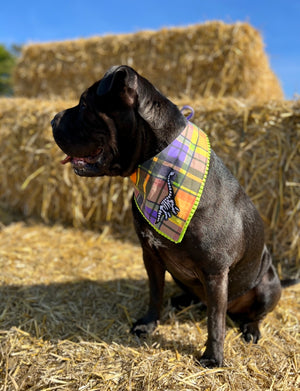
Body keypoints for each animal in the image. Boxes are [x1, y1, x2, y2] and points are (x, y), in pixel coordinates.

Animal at [51, 66, 284, 370]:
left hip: (267, 285)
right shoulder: (150, 254)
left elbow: (215, 321)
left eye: (83, 105)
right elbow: (155, 293)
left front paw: (213, 356)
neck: (155, 167)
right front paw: (149, 324)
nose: (52, 120)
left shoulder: (215, 271)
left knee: (252, 313)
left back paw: (251, 329)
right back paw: (184, 300)